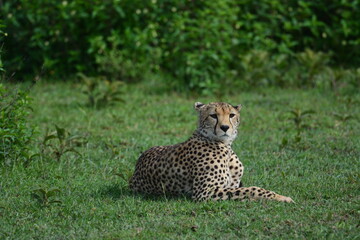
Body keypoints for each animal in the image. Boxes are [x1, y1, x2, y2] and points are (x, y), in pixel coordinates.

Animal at [129, 101, 292, 202]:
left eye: (231, 115)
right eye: (213, 115)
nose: (225, 127)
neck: (225, 146)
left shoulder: (229, 186)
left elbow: (244, 190)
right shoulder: (205, 192)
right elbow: (251, 189)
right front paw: (281, 197)